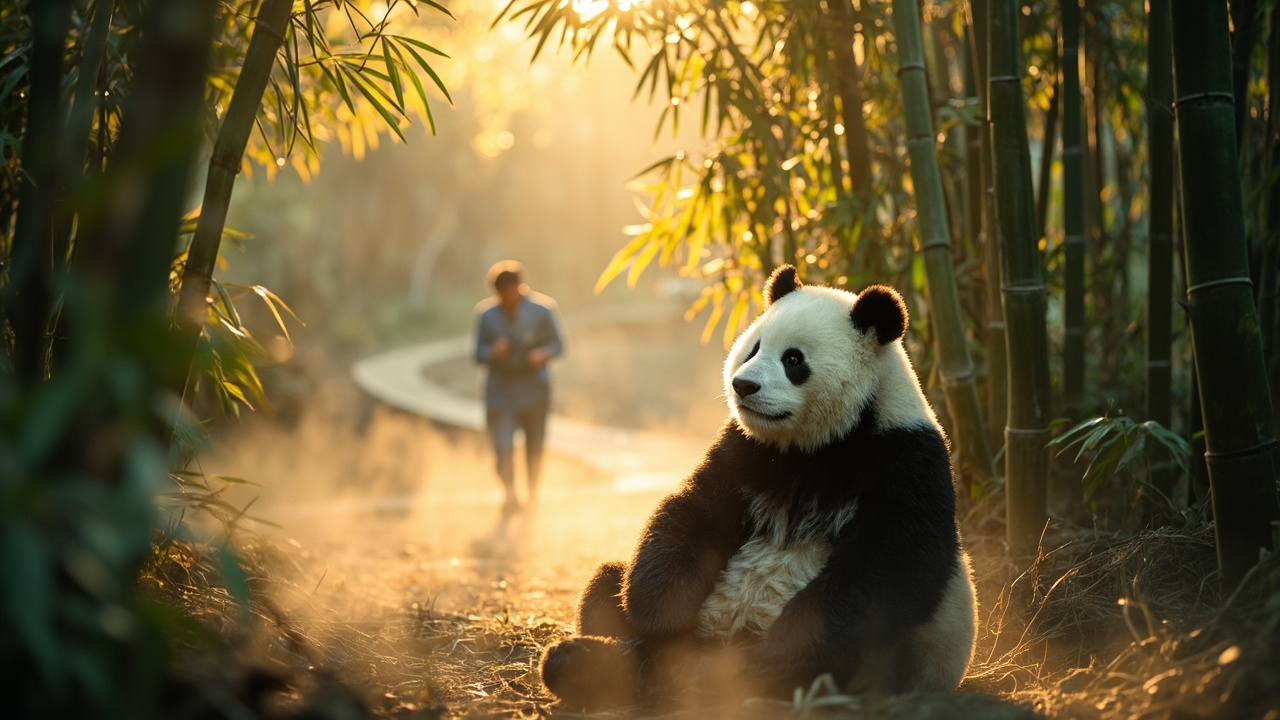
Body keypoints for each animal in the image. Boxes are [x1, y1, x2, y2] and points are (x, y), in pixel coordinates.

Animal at [540, 265, 977, 711]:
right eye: (753, 349)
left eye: (793, 359)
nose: (743, 385)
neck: (818, 445)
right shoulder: (745, 449)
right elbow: (695, 510)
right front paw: (661, 611)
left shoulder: (904, 459)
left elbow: (891, 561)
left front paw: (788, 645)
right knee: (608, 583)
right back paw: (599, 661)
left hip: (911, 649)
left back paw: (724, 677)